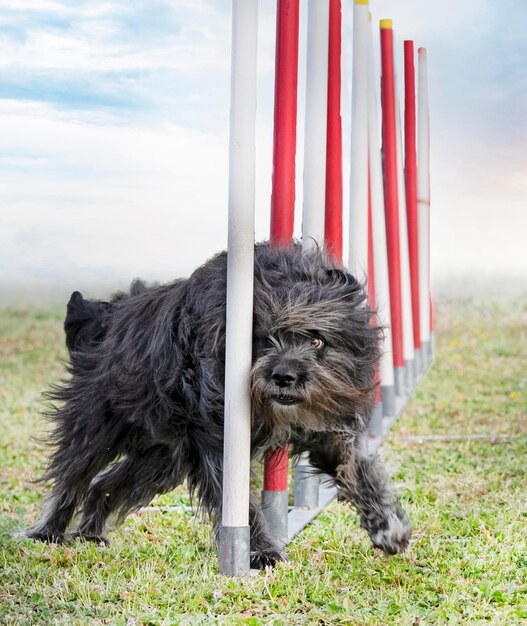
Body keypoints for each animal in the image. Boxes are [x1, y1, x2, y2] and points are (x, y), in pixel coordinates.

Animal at [26, 243, 410, 564]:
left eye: (317, 340)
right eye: (264, 339)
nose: (283, 376)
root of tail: (105, 317)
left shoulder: (325, 428)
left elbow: (355, 470)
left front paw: (386, 525)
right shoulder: (216, 437)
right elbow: (239, 501)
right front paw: (261, 552)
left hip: (162, 458)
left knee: (103, 484)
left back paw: (90, 533)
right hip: (98, 426)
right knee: (73, 477)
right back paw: (48, 531)